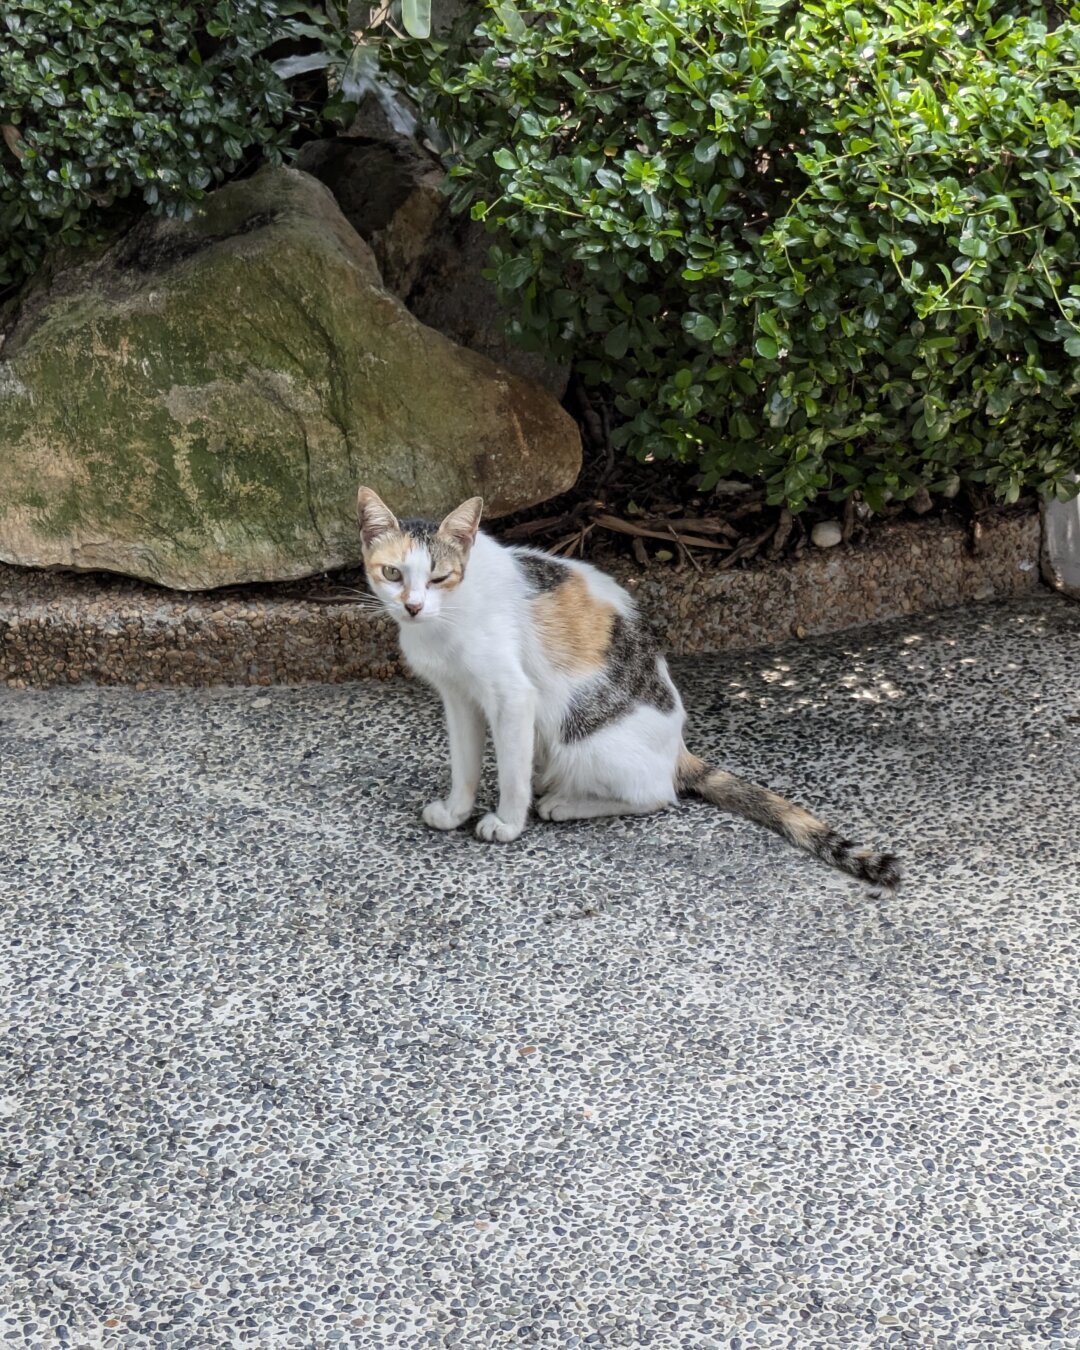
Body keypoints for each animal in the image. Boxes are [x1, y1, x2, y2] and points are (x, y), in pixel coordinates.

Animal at [359, 488, 896, 896]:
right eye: (392, 573)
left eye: (439, 577)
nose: (412, 606)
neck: (443, 621)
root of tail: (679, 747)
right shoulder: (458, 697)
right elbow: (465, 763)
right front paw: (456, 811)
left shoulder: (512, 697)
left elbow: (510, 773)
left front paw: (508, 822)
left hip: (580, 738)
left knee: (657, 794)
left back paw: (563, 803)